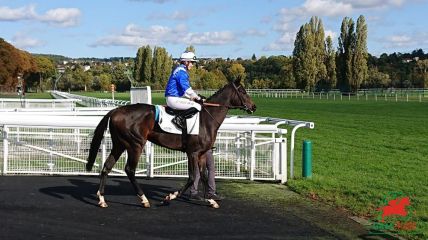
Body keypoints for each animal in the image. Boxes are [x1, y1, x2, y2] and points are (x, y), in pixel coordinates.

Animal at [85, 78, 256, 209]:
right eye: (243, 91)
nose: (253, 106)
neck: (206, 120)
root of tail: (115, 111)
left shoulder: (201, 154)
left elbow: (203, 176)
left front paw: (211, 200)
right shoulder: (193, 152)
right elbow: (192, 177)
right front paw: (170, 197)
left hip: (120, 144)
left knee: (107, 166)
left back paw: (102, 199)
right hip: (135, 144)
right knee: (129, 169)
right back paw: (144, 199)